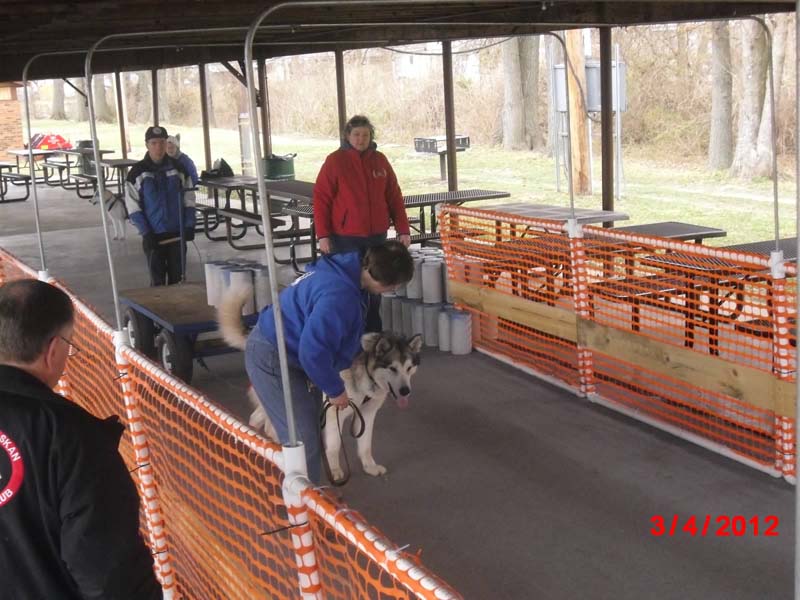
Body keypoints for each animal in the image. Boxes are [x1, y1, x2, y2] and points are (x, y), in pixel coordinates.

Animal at [216, 288, 422, 480]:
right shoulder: (333, 414)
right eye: (392, 368)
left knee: (259, 419)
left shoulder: (367, 413)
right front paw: (336, 471)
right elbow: (334, 446)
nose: (405, 391)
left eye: (409, 368)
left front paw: (370, 466)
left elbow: (365, 445)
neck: (365, 368)